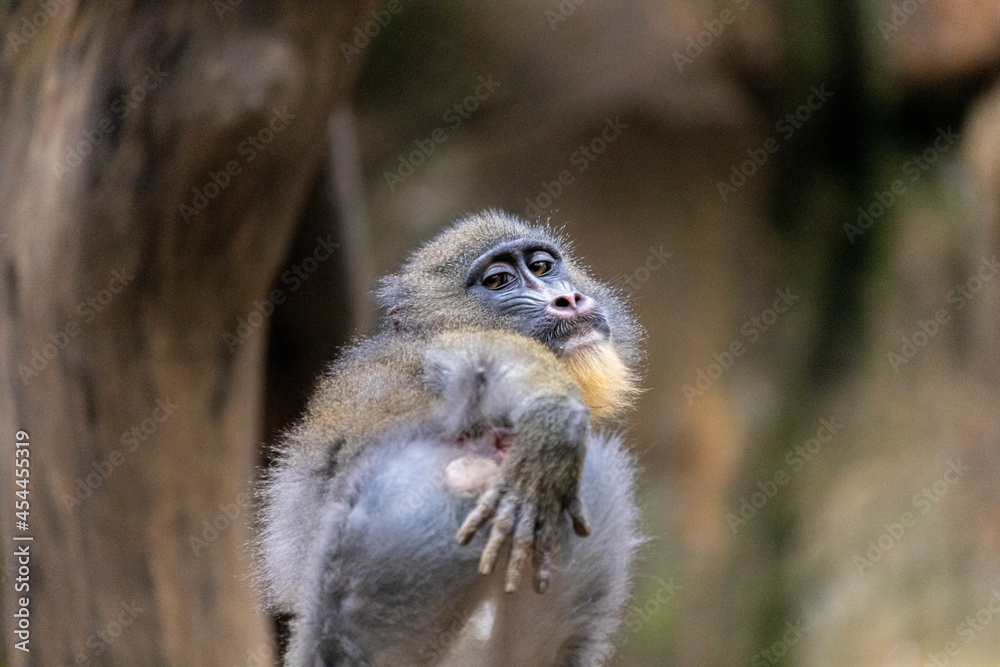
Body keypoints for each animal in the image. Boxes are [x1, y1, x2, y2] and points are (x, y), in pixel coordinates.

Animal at [257, 210, 644, 666]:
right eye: (499, 280)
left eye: (542, 266)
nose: (568, 300)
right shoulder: (437, 346)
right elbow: (473, 350)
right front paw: (552, 418)